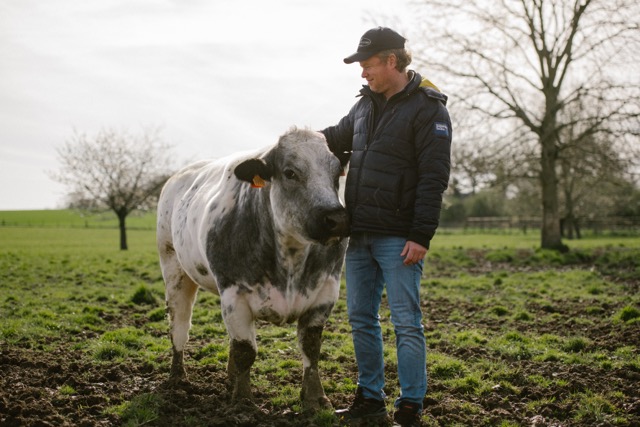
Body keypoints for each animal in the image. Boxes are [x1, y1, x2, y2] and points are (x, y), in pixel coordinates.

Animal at [156, 127, 349, 411]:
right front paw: (243, 401)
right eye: (290, 172)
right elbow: (246, 351)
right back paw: (177, 378)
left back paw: (228, 378)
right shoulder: (234, 294)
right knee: (179, 325)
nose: (336, 219)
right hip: (173, 267)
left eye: (337, 174)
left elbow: (310, 347)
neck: (290, 260)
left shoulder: (325, 293)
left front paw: (316, 398)